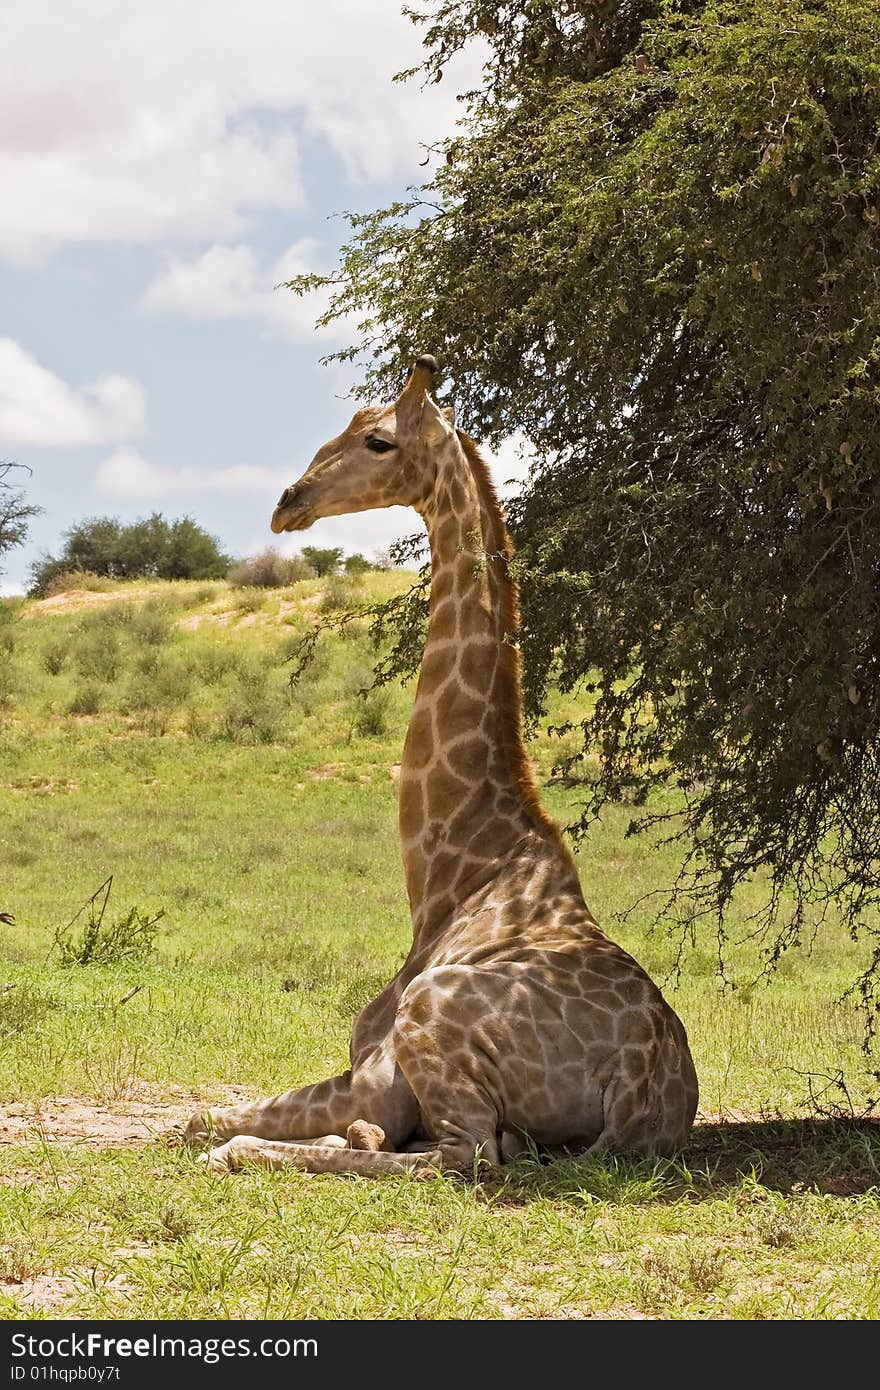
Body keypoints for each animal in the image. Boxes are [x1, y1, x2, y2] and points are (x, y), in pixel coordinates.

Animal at [183, 355, 692, 1173]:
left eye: (380, 441)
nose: (289, 503)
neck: (454, 872)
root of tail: (644, 1088)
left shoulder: (370, 1077)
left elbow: (194, 1116)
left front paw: (238, 1141)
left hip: (431, 1022)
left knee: (465, 1155)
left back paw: (250, 1152)